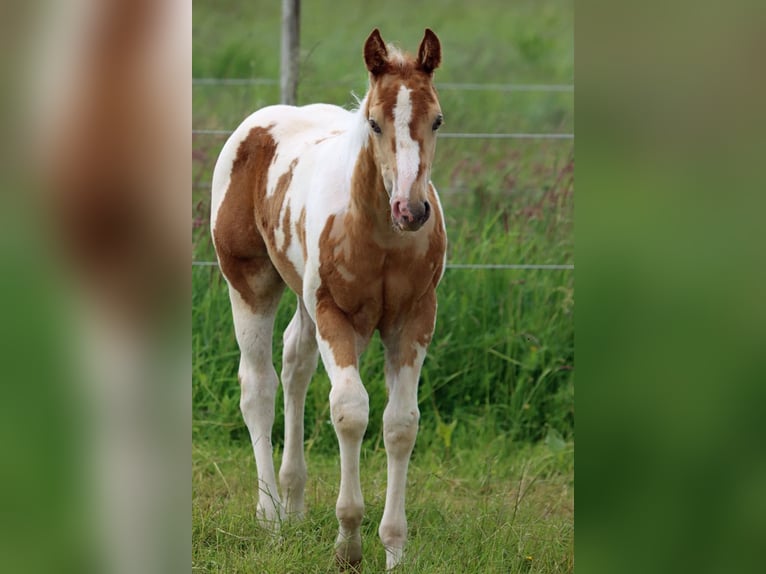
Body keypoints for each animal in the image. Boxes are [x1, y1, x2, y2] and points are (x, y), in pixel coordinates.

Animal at [210, 28, 447, 570]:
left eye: (438, 120)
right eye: (374, 122)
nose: (411, 210)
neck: (379, 234)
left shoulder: (413, 319)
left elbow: (400, 424)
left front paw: (394, 548)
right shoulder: (336, 315)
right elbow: (350, 411)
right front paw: (349, 543)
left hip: (303, 295)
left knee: (295, 364)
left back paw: (295, 503)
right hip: (250, 284)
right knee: (259, 386)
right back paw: (272, 517)